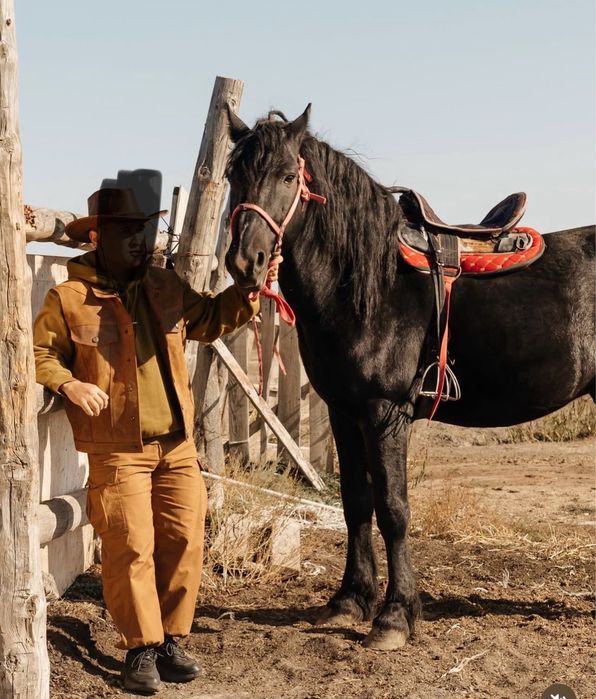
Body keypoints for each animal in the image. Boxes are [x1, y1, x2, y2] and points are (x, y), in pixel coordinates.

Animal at [224, 104, 595, 650]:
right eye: (233, 176)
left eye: (289, 176)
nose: (243, 262)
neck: (368, 285)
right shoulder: (344, 411)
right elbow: (356, 503)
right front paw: (349, 601)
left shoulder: (385, 412)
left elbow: (393, 509)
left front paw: (395, 616)